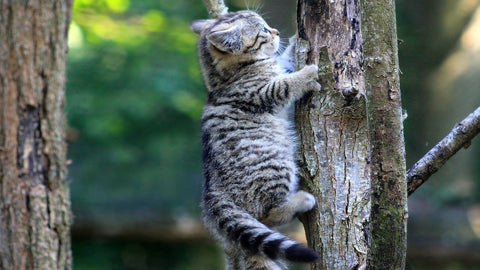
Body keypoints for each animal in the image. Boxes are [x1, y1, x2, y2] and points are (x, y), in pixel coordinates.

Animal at [191, 10, 322, 270]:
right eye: (262, 29)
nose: (277, 32)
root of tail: (213, 195)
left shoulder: (276, 70)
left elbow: (285, 62)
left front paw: (294, 42)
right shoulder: (262, 93)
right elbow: (285, 84)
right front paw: (307, 74)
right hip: (274, 165)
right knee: (266, 214)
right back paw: (300, 200)